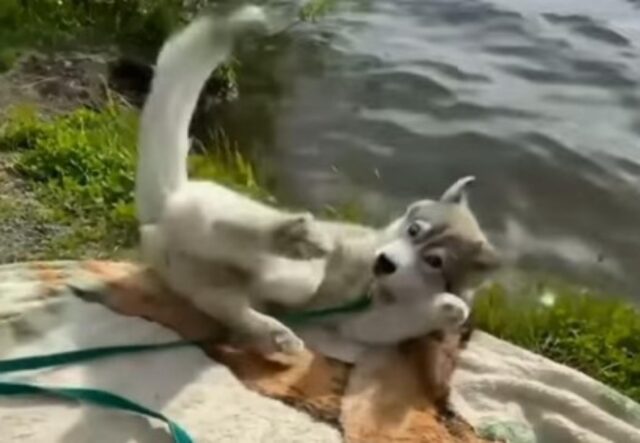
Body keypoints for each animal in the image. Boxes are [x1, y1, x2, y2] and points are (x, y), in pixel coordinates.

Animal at [135, 7, 500, 358]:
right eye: (413, 230)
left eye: (435, 262)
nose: (384, 263)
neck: (374, 286)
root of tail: (169, 201)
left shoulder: (362, 324)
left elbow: (401, 320)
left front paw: (447, 307)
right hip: (238, 231)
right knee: (237, 235)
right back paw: (291, 239)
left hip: (204, 282)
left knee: (228, 303)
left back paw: (273, 333)